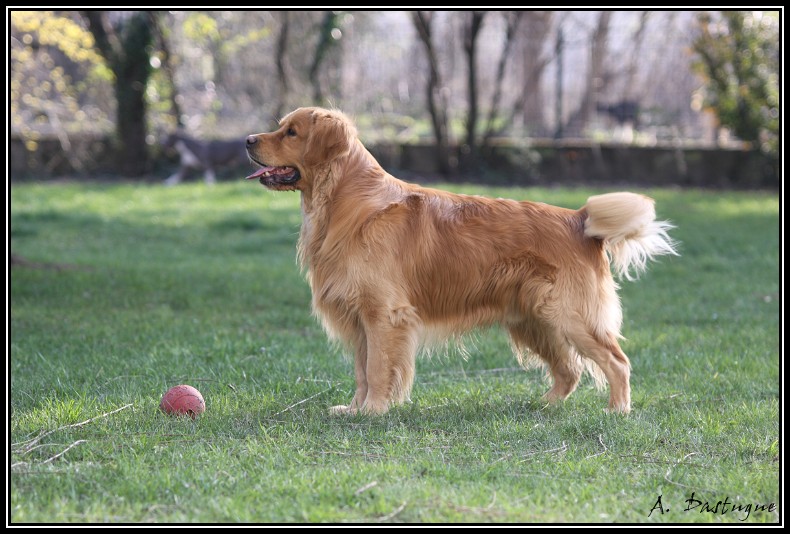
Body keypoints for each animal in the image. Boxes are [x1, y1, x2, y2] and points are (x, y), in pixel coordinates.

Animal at [248, 109, 680, 416]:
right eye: (281, 127)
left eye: (291, 132)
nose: (248, 140)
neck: (345, 203)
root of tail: (579, 220)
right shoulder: (359, 318)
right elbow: (361, 370)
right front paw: (353, 409)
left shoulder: (384, 314)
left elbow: (377, 369)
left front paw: (373, 411)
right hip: (535, 320)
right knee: (569, 371)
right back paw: (544, 405)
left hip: (571, 315)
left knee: (617, 362)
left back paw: (617, 410)